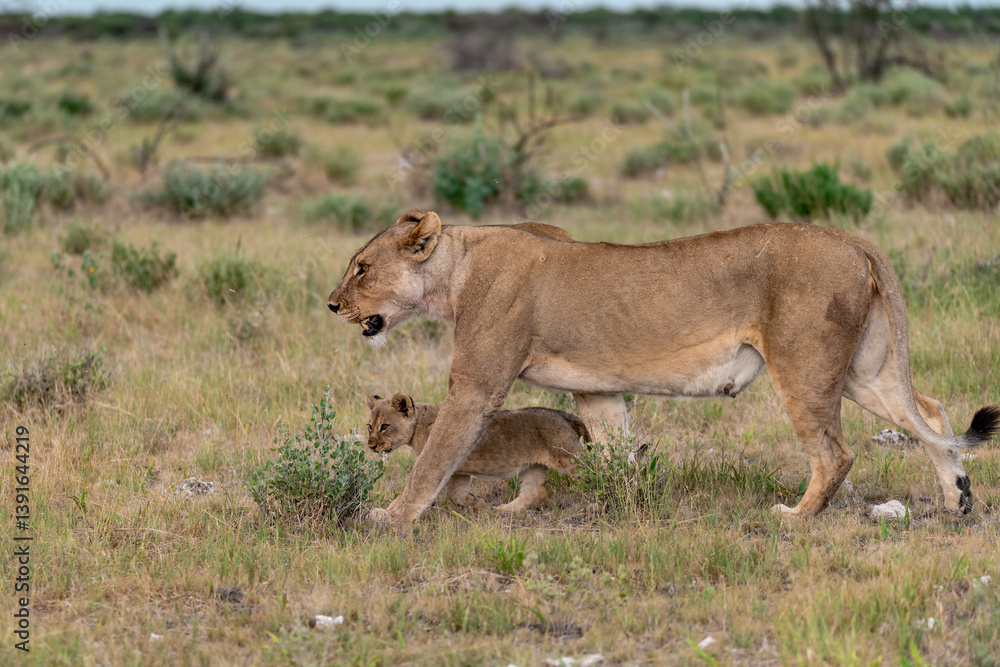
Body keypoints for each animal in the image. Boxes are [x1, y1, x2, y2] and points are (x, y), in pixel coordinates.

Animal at [365, 393, 588, 512]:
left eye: (384, 426)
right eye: (370, 426)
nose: (371, 446)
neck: (418, 426)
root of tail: (566, 415)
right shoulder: (458, 472)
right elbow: (456, 495)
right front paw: (480, 504)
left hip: (570, 458)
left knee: (592, 470)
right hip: (533, 467)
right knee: (534, 494)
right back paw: (503, 510)